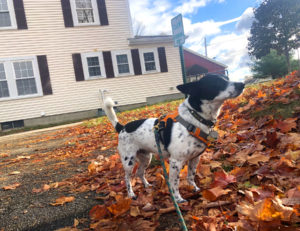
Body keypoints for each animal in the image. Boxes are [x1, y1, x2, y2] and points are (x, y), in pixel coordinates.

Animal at [103, 74, 244, 202]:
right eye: (216, 82)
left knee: (139, 172)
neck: (195, 117)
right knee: (127, 178)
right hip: (129, 161)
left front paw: (194, 188)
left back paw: (147, 185)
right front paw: (178, 199)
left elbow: (190, 176)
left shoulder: (195, 158)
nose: (242, 84)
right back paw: (131, 194)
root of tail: (122, 127)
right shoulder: (176, 162)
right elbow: (174, 182)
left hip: (146, 158)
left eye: (227, 77)